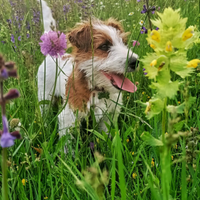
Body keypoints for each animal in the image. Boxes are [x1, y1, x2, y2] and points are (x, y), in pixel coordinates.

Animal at [37, 0, 138, 144]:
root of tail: (53, 54)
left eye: (124, 43)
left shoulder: (108, 116)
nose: (135, 62)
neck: (96, 89)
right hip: (44, 96)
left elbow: (106, 137)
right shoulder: (68, 117)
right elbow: (67, 144)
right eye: (104, 46)